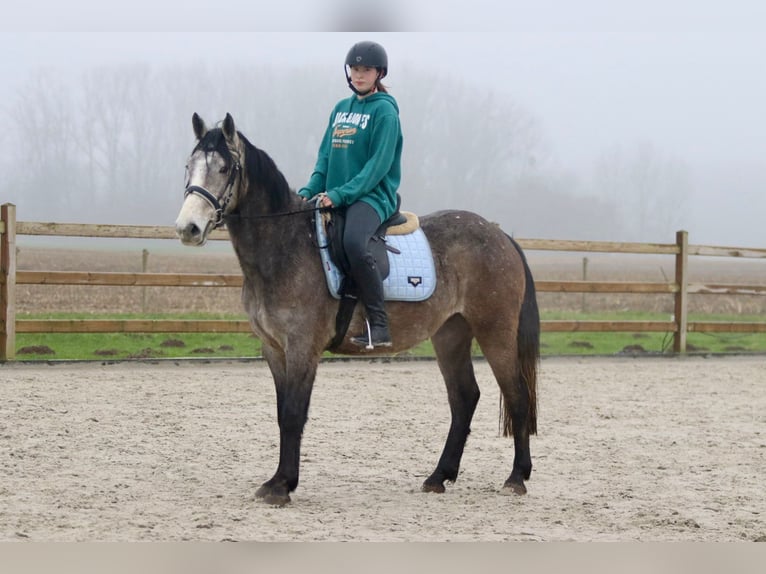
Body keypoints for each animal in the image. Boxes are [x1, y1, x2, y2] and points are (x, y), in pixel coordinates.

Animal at [177, 113, 544, 508]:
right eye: (189, 166)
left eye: (224, 168)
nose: (188, 228)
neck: (285, 245)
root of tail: (499, 236)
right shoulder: (274, 349)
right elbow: (281, 413)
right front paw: (277, 480)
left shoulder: (302, 347)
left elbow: (293, 415)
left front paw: (283, 485)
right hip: (450, 334)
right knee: (464, 398)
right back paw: (439, 476)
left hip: (495, 332)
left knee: (517, 395)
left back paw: (517, 477)